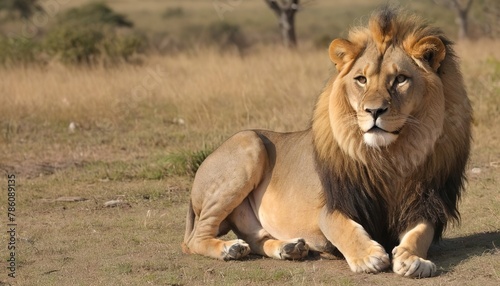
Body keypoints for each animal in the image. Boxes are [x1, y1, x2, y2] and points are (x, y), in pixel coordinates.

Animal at [182, 7, 470, 280]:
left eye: (400, 79)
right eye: (361, 79)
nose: (374, 111)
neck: (389, 156)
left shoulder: (426, 204)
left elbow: (421, 232)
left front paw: (412, 258)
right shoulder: (333, 206)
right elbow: (344, 228)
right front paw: (368, 256)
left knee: (255, 238)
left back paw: (289, 248)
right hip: (249, 144)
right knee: (193, 240)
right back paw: (229, 249)